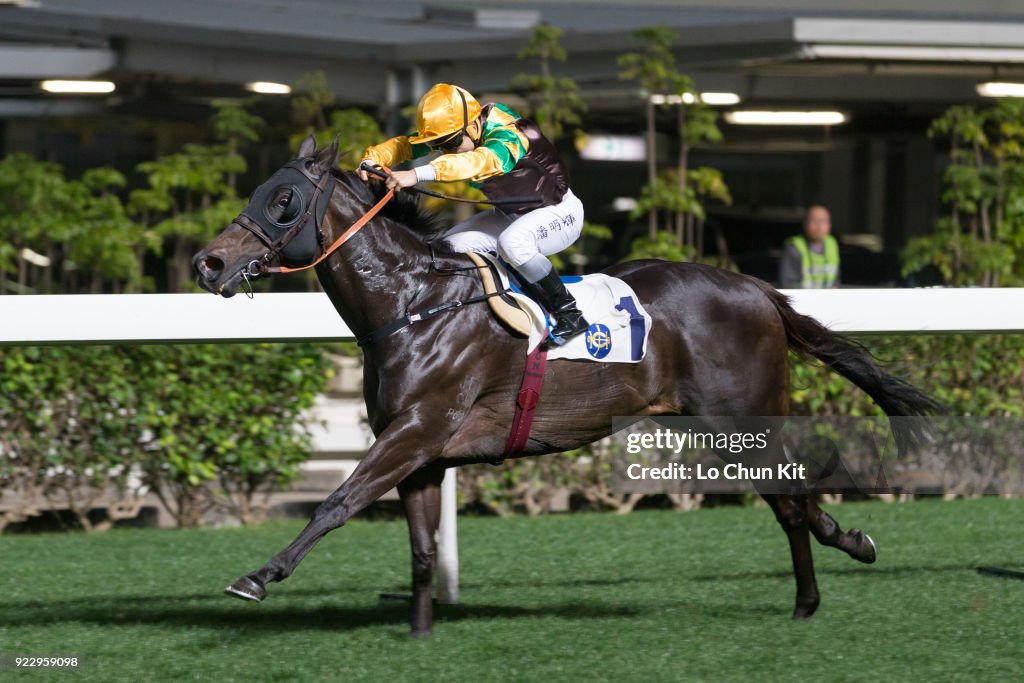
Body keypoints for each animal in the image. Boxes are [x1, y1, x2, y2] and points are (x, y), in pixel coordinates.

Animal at [193, 136, 942, 638]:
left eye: (283, 200)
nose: (209, 262)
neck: (411, 304)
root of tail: (757, 288)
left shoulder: (418, 430)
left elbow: (337, 501)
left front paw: (257, 576)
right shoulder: (421, 453)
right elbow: (422, 548)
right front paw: (420, 632)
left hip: (743, 417)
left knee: (789, 497)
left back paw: (824, 577)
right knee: (791, 500)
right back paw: (823, 576)